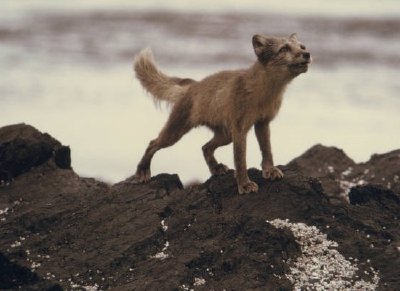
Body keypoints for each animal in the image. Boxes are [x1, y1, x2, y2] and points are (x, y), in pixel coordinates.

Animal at [133, 33, 310, 195]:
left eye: (302, 47)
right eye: (284, 49)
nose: (307, 54)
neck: (264, 92)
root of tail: (193, 85)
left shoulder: (262, 123)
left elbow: (267, 150)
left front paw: (270, 170)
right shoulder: (240, 129)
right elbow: (240, 160)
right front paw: (244, 184)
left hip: (225, 135)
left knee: (205, 147)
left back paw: (216, 168)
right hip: (176, 132)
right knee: (153, 143)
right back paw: (142, 171)